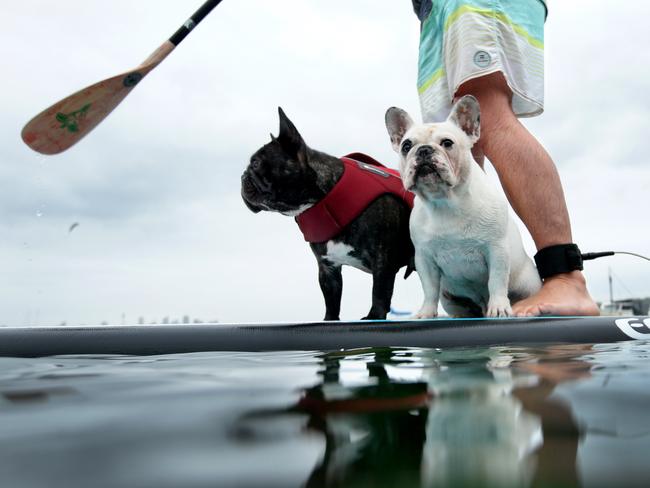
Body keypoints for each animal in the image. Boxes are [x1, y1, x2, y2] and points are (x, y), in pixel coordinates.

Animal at [240, 108, 412, 318]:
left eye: (256, 163)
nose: (243, 176)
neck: (324, 198)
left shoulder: (383, 259)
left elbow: (379, 290)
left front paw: (374, 316)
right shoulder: (327, 268)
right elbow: (331, 298)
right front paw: (329, 318)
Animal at [382, 96, 540, 318]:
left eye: (447, 143)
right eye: (406, 145)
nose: (423, 150)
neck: (445, 202)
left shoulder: (497, 249)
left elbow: (497, 281)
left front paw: (499, 307)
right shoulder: (424, 258)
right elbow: (429, 288)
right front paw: (426, 312)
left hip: (529, 285)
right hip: (450, 299)